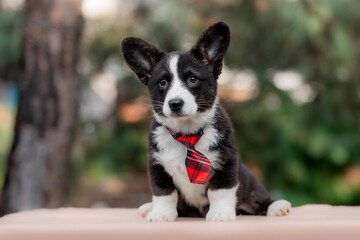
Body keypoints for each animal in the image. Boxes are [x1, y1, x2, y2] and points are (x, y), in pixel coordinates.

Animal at [122, 21, 292, 222]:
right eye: (163, 83)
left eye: (193, 79)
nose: (175, 104)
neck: (187, 134)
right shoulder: (157, 166)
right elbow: (164, 193)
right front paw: (161, 214)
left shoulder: (227, 162)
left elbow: (219, 191)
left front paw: (220, 214)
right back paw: (149, 207)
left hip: (248, 178)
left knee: (258, 197)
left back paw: (277, 207)